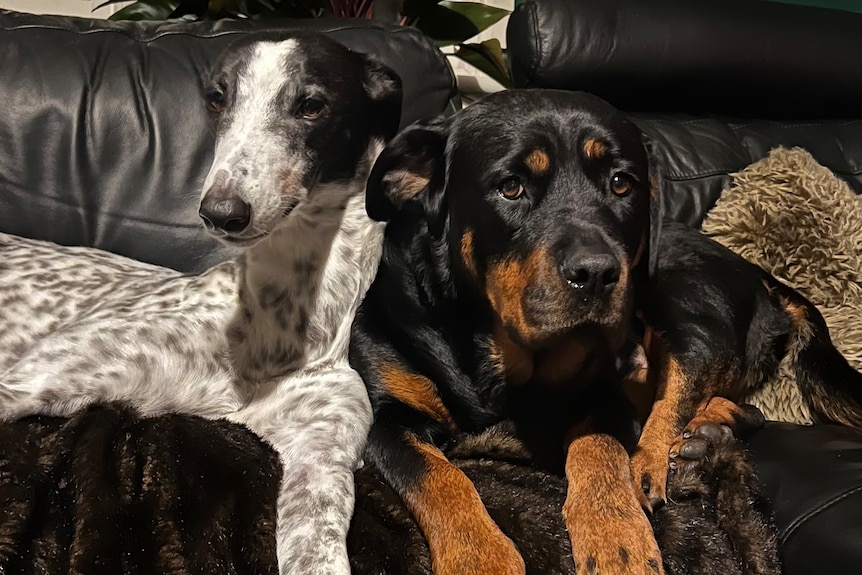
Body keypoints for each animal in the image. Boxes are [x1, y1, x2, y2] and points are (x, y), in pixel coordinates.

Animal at [0, 32, 404, 575]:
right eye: (217, 98)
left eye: (311, 105)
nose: (221, 212)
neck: (276, 325)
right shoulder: (32, 376)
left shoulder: (323, 460)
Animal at [350, 91, 776, 575]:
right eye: (511, 186)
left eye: (621, 183)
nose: (596, 273)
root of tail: (765, 281)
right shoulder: (386, 418)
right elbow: (437, 474)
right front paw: (480, 556)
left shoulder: (604, 392)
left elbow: (600, 447)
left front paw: (616, 537)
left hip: (685, 310)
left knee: (682, 398)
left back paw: (669, 457)